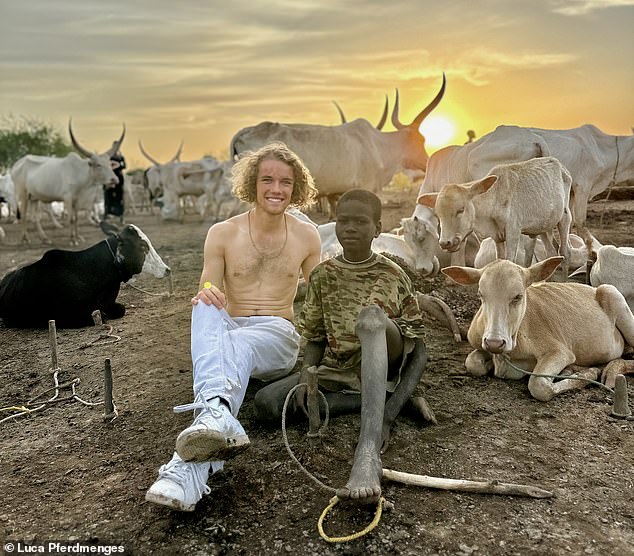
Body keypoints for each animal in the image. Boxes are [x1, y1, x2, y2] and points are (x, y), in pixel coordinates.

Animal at [418, 156, 572, 278]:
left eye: (461, 210)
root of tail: (560, 165)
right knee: (551, 253)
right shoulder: (497, 237)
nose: (445, 243)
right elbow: (500, 259)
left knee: (564, 253)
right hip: (543, 227)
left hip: (565, 217)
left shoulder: (513, 231)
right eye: (438, 215)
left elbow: (510, 261)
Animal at [440, 258, 632, 402]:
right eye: (481, 295)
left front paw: (587, 374)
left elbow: (539, 386)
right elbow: (472, 363)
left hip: (612, 293)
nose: (495, 342)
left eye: (518, 296)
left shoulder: (559, 351)